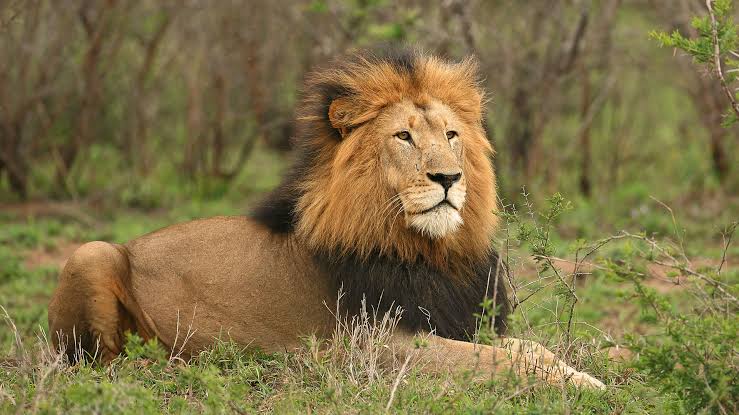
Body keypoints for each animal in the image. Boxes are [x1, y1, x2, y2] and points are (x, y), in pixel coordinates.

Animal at [48, 48, 605, 389]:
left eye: (450, 134)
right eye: (403, 136)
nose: (448, 177)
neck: (429, 250)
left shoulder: (458, 320)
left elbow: (531, 347)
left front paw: (587, 376)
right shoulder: (378, 346)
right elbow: (503, 359)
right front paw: (584, 386)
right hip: (92, 254)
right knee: (92, 362)